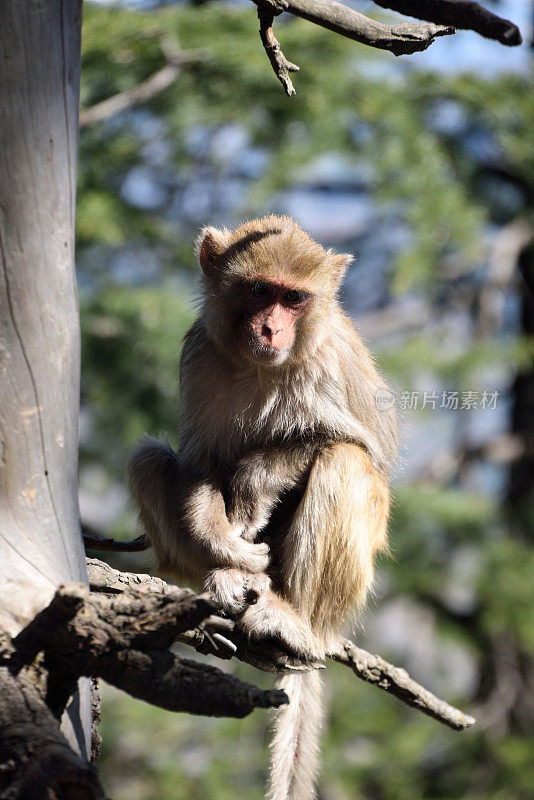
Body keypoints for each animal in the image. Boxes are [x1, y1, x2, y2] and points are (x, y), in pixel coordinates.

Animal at [127, 212, 398, 800]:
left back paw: (296, 623)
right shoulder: (199, 356)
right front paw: (222, 540)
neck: (260, 367)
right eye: (259, 291)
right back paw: (228, 579)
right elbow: (200, 462)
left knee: (344, 464)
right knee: (148, 460)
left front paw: (257, 478)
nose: (272, 329)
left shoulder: (331, 362)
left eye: (293, 298)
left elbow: (361, 446)